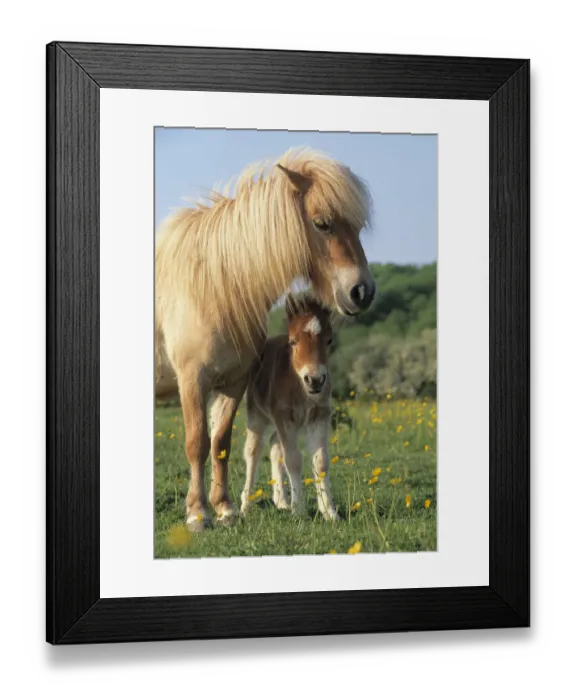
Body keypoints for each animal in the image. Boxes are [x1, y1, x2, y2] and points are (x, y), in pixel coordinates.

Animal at [241, 294, 339, 521]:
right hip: (258, 415)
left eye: (329, 340)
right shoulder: (285, 418)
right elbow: (293, 459)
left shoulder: (319, 416)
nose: (315, 380)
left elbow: (320, 461)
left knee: (275, 448)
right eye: (293, 341)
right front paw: (300, 510)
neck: (300, 388)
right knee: (253, 452)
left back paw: (281, 502)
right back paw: (246, 506)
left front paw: (329, 511)